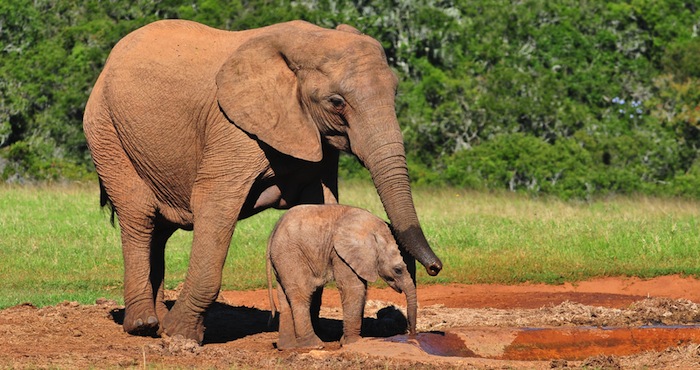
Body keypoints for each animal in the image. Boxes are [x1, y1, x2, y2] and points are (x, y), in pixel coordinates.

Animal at [266, 204, 412, 348]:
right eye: (398, 270)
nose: (411, 332)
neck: (372, 232)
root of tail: (273, 232)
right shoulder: (340, 253)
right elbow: (353, 288)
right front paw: (353, 342)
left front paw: (347, 341)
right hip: (291, 255)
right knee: (302, 295)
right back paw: (314, 345)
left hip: (282, 260)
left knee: (285, 298)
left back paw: (287, 347)